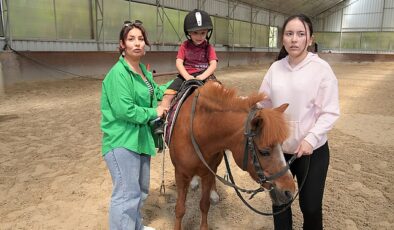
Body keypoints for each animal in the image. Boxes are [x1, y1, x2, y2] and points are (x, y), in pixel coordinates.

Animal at [169, 82, 296, 229]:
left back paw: (213, 193)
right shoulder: (180, 174)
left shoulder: (207, 173)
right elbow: (180, 208)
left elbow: (204, 205)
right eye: (264, 152)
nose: (290, 192)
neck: (197, 131)